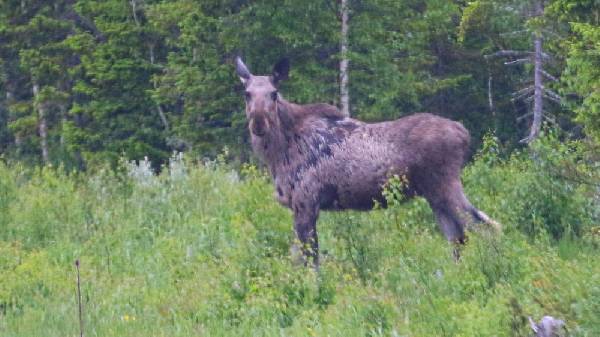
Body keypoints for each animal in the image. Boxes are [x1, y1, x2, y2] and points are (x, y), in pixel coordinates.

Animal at [237, 56, 500, 266]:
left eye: (273, 93)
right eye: (247, 93)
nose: (258, 123)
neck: (277, 154)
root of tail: (464, 133)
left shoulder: (306, 201)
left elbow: (309, 259)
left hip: (444, 185)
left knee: (486, 227)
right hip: (434, 195)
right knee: (458, 237)